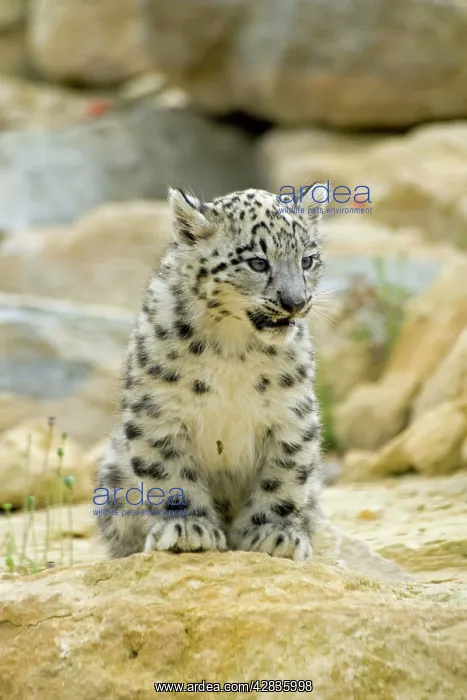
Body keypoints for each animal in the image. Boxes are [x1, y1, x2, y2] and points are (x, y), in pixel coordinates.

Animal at [96, 185, 327, 562]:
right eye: (257, 262)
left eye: (307, 259)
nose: (295, 302)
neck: (233, 347)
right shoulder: (159, 411)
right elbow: (169, 474)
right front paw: (188, 528)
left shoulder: (291, 413)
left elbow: (283, 477)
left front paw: (273, 534)